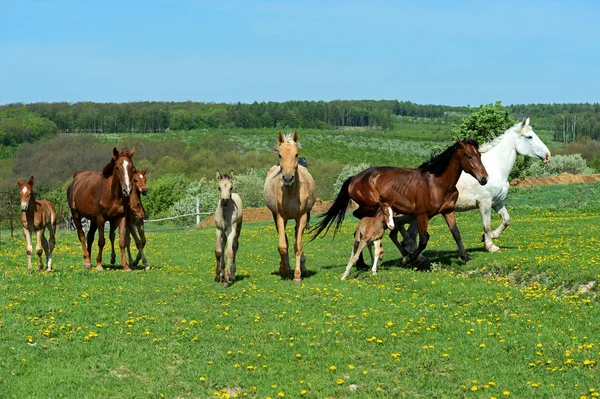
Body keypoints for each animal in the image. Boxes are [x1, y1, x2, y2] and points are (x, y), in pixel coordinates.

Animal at [264, 133, 316, 282]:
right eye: (280, 155)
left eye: (296, 154)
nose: (288, 179)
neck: (292, 192)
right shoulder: (281, 217)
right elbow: (282, 246)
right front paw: (283, 270)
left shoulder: (302, 217)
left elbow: (298, 246)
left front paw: (297, 275)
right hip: (276, 218)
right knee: (285, 241)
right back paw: (286, 268)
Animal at [312, 140, 490, 266]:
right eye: (469, 156)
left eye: (480, 156)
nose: (484, 178)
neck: (437, 183)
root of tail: (354, 178)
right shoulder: (422, 215)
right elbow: (423, 240)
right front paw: (409, 259)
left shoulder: (448, 211)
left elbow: (456, 233)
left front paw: (465, 257)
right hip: (371, 206)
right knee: (360, 220)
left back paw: (365, 262)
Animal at [396, 117, 552, 253]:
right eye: (529, 137)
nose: (548, 155)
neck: (495, 168)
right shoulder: (485, 203)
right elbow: (486, 225)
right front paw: (491, 246)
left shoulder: (497, 202)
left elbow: (506, 220)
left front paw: (491, 236)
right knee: (403, 228)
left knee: (409, 231)